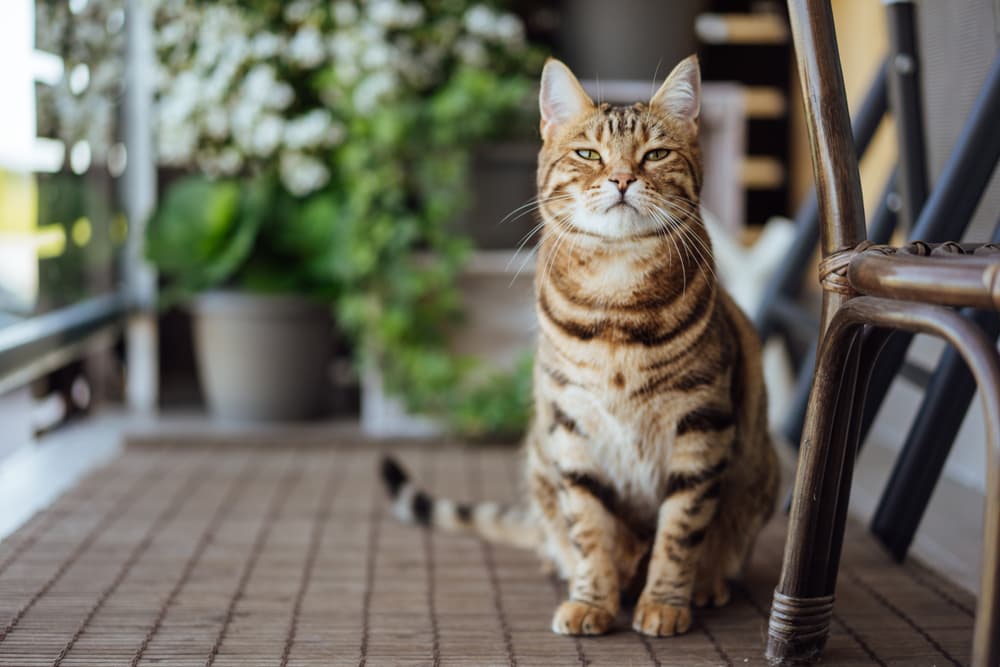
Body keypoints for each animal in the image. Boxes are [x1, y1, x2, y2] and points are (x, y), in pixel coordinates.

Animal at [378, 54, 776, 640]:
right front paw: (592, 600)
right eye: (589, 153)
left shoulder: (701, 424)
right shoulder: (572, 428)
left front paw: (664, 602)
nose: (622, 178)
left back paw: (705, 585)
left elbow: (680, 530)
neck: (615, 300)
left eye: (655, 154)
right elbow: (590, 530)